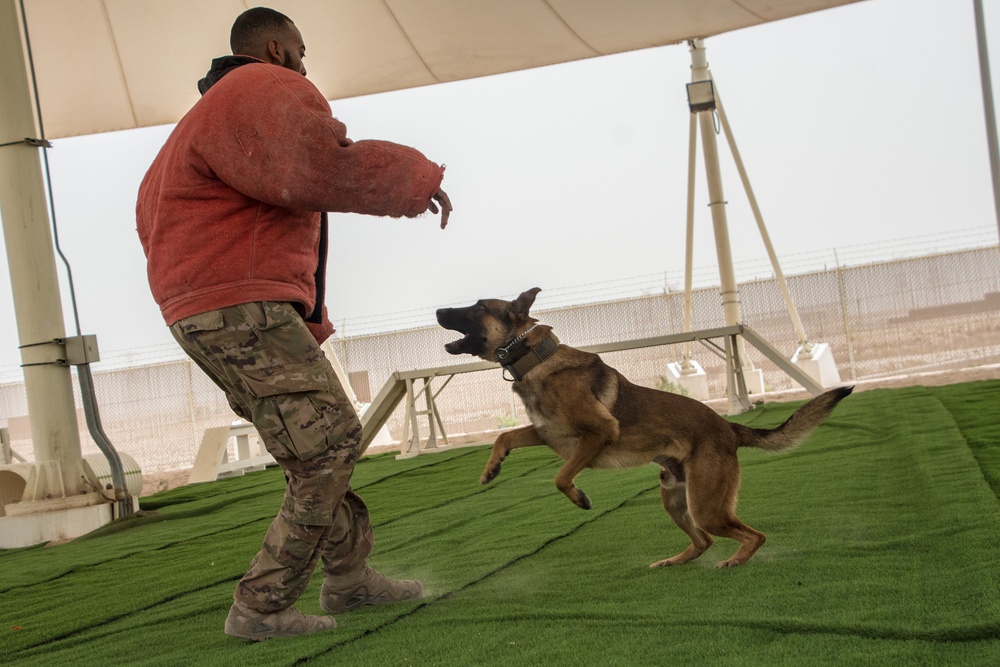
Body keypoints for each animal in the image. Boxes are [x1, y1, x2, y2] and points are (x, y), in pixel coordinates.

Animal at [436, 288, 852, 568]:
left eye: (478, 307)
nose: (438, 308)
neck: (535, 358)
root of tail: (729, 427)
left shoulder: (598, 434)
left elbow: (559, 477)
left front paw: (579, 497)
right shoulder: (545, 432)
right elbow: (504, 435)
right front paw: (492, 468)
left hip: (705, 506)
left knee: (753, 534)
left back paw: (735, 560)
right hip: (674, 498)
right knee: (703, 541)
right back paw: (674, 561)